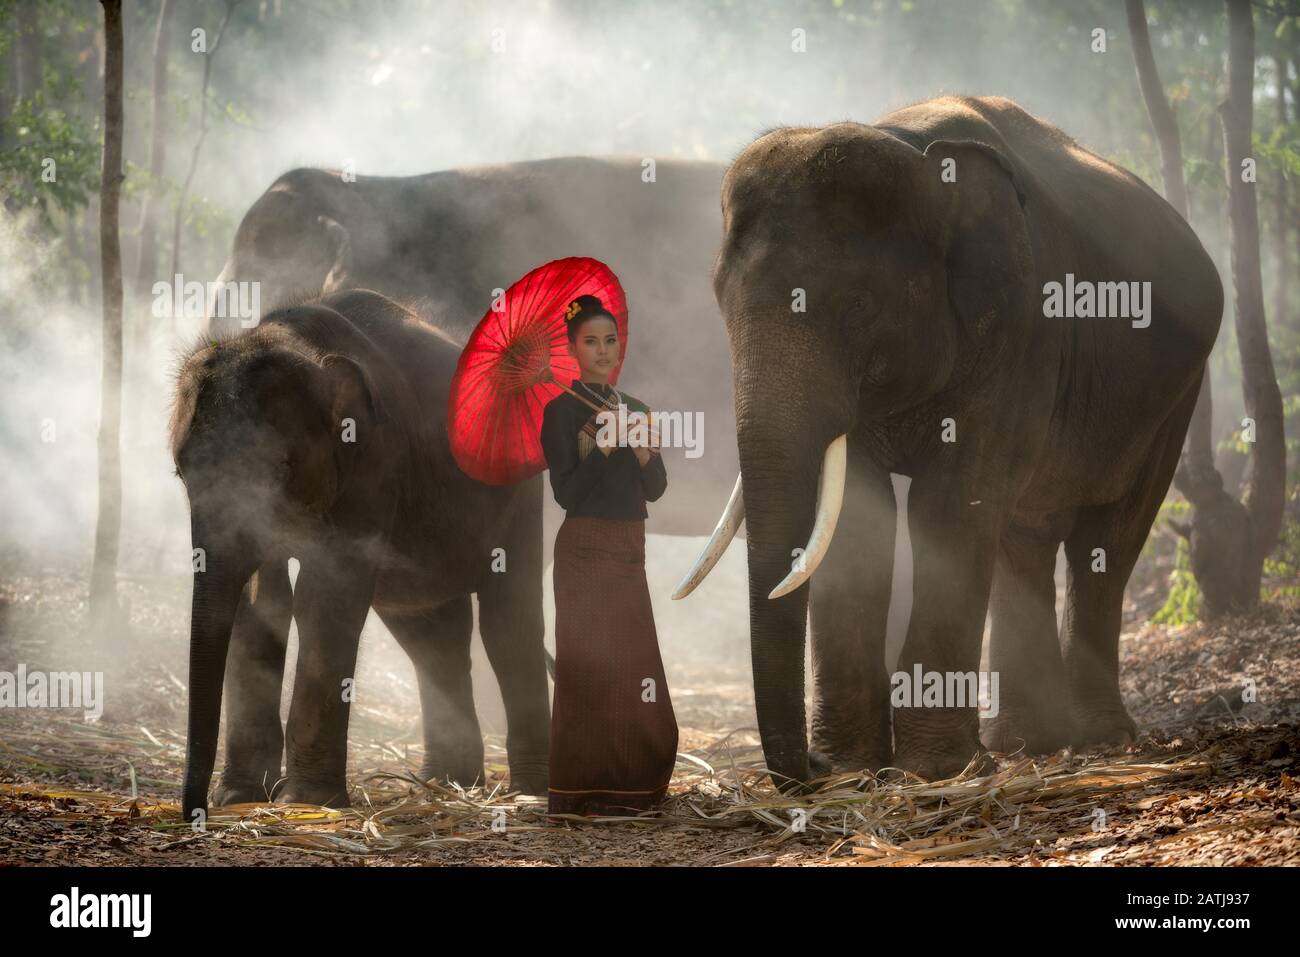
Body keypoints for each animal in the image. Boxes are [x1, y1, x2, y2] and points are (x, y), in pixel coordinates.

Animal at [169, 287, 548, 816]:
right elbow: (262, 600)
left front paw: (306, 803)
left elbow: (324, 597)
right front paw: (241, 798)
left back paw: (527, 792)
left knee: (507, 623)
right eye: (181, 472)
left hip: (520, 488)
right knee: (430, 635)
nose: (194, 812)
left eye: (280, 470)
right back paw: (445, 783)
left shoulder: (373, 463)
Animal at [676, 93, 1222, 790]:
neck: (914, 152)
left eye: (858, 305)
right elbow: (860, 517)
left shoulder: (1023, 328)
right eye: (720, 302)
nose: (813, 768)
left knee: (1107, 539)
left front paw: (937, 770)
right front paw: (859, 769)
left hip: (1176, 394)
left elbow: (951, 502)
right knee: (1023, 538)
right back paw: (1028, 742)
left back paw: (1101, 739)